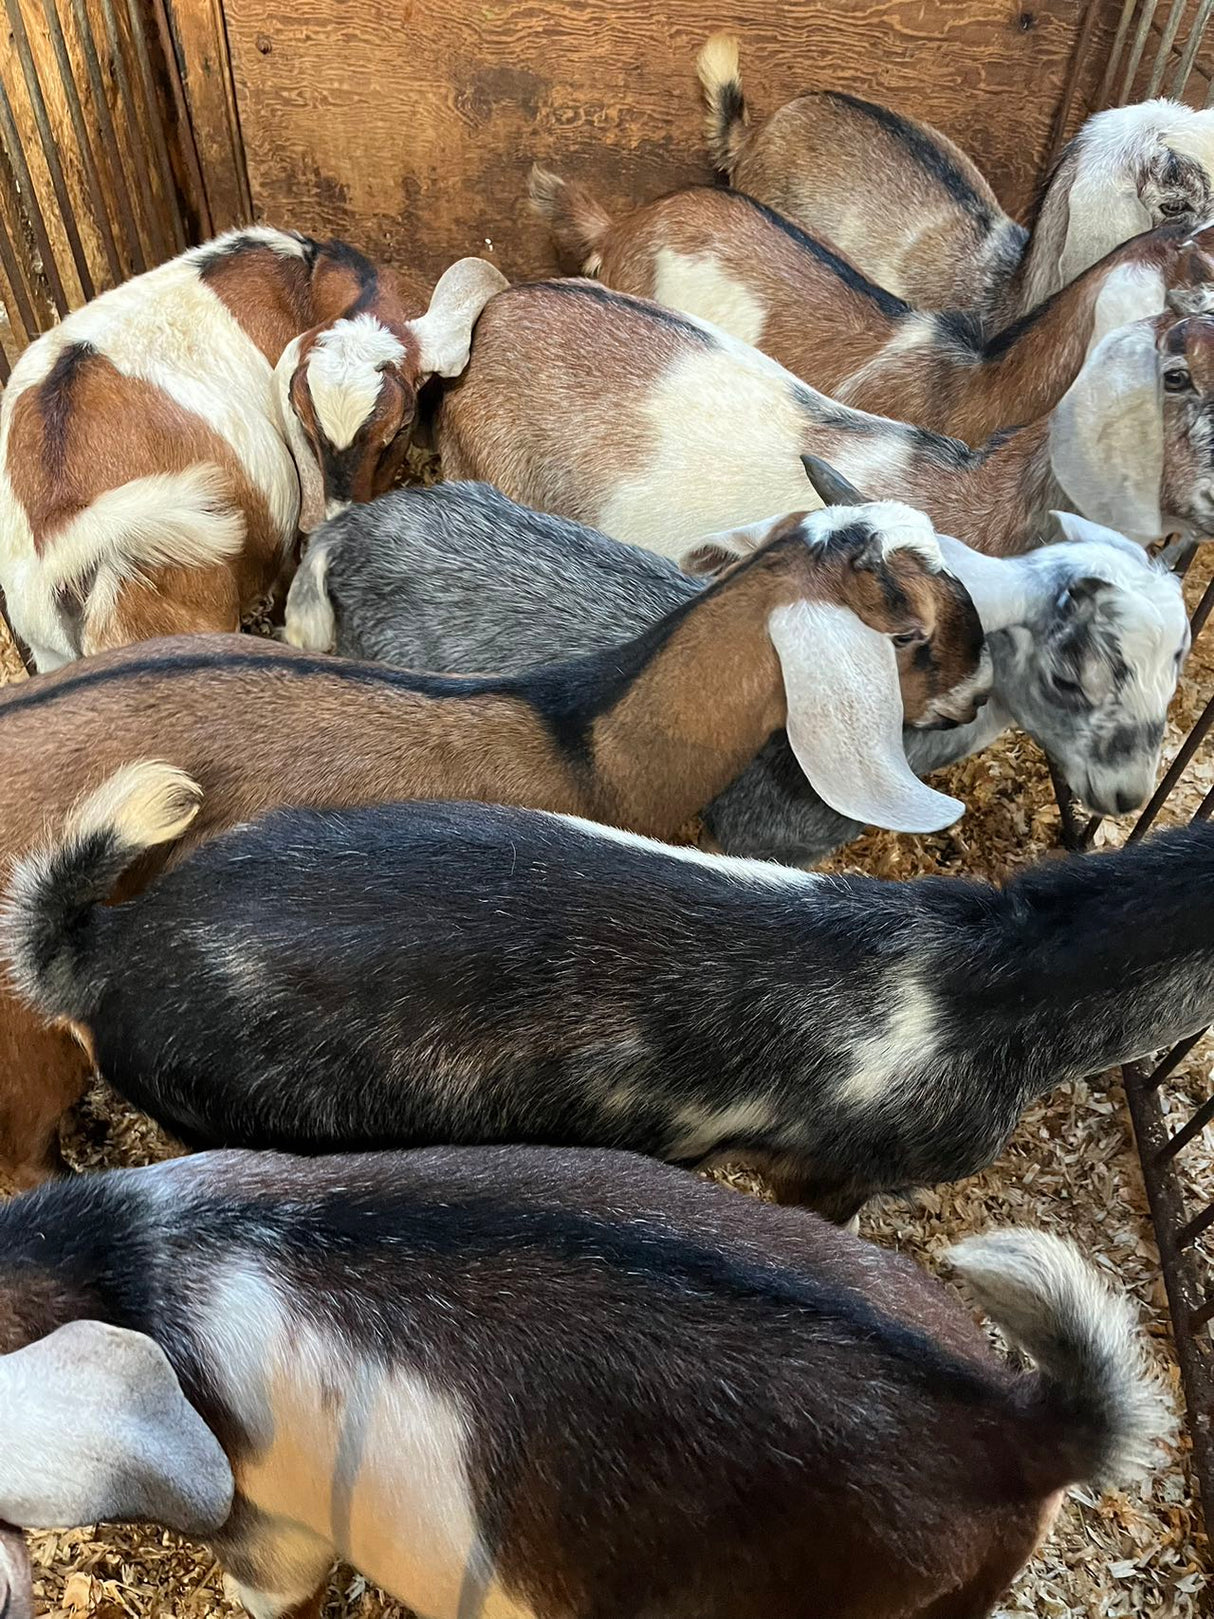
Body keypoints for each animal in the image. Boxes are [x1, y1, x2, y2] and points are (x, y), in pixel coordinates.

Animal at [0, 226, 505, 670]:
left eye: (399, 429)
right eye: (303, 423)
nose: (342, 516)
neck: (306, 280)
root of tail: (64, 539)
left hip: (48, 652)